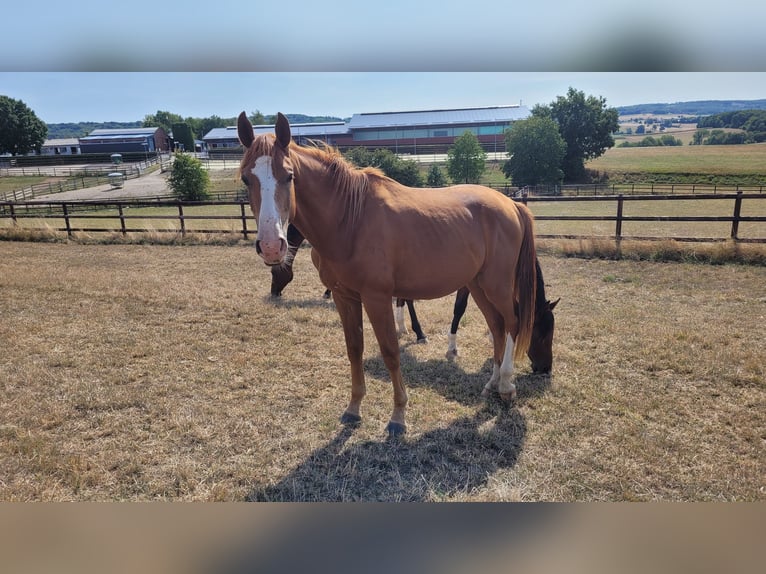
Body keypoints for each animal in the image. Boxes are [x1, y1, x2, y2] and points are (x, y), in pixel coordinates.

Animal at [238, 112, 551, 436]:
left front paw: (398, 415)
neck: (349, 220)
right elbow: (354, 349)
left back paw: (506, 386)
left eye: (289, 176)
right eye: (246, 178)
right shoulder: (343, 296)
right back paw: (492, 384)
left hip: (497, 284)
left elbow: (390, 352)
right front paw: (353, 408)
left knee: (513, 323)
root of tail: (511, 204)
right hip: (478, 285)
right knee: (498, 327)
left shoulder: (377, 298)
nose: (271, 246)